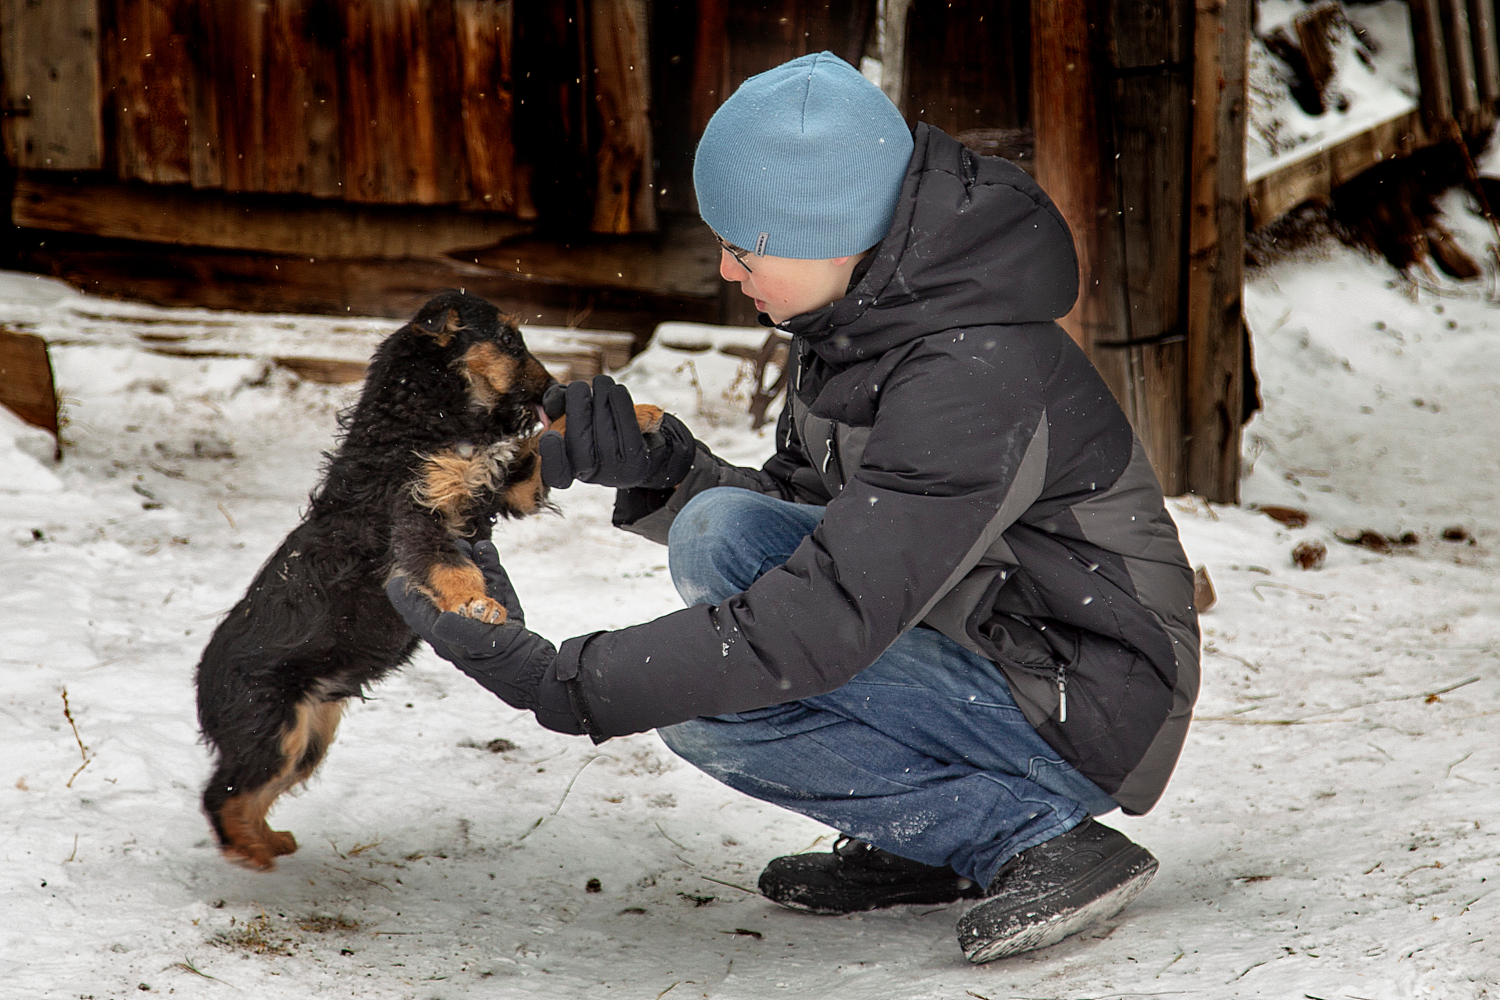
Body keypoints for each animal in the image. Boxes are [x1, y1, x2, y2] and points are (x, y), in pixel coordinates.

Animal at [199, 289, 663, 869]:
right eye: (508, 339)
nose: (555, 389)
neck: (427, 422)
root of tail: (202, 683)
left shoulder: (503, 489)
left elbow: (539, 442)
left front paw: (635, 414)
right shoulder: (417, 518)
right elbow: (451, 565)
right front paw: (477, 607)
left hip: (308, 737)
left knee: (253, 790)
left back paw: (267, 840)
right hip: (271, 727)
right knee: (222, 793)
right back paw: (250, 852)